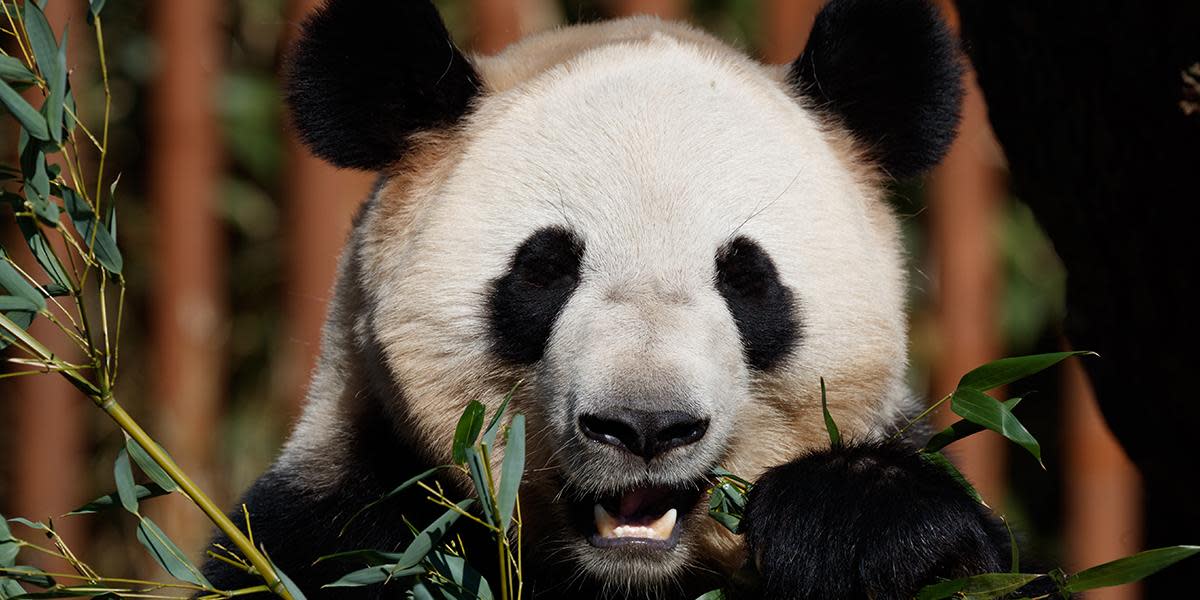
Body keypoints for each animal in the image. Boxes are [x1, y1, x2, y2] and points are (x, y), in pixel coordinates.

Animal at [204, 0, 1012, 597]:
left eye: (746, 279)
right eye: (545, 271)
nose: (646, 426)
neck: (630, 576)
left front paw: (849, 520)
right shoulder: (340, 520)